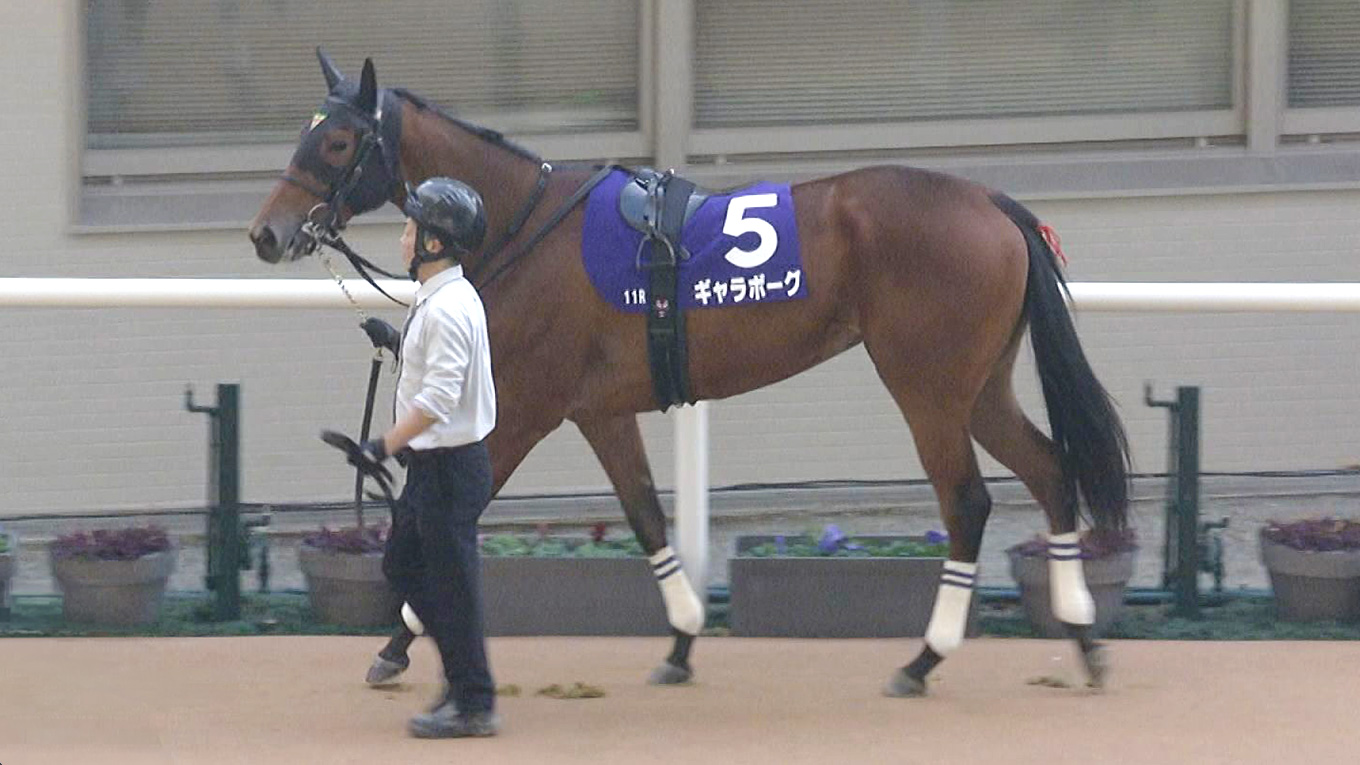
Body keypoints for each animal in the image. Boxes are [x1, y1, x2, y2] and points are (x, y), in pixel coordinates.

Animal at [249, 51, 1130, 696]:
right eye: (303, 133)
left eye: (335, 143)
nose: (267, 232)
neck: (524, 224)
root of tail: (991, 202)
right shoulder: (599, 410)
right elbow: (645, 515)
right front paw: (679, 640)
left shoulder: (529, 406)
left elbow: (443, 513)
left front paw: (397, 638)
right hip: (979, 387)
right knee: (1049, 470)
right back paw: (1083, 636)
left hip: (928, 389)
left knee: (969, 503)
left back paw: (924, 658)